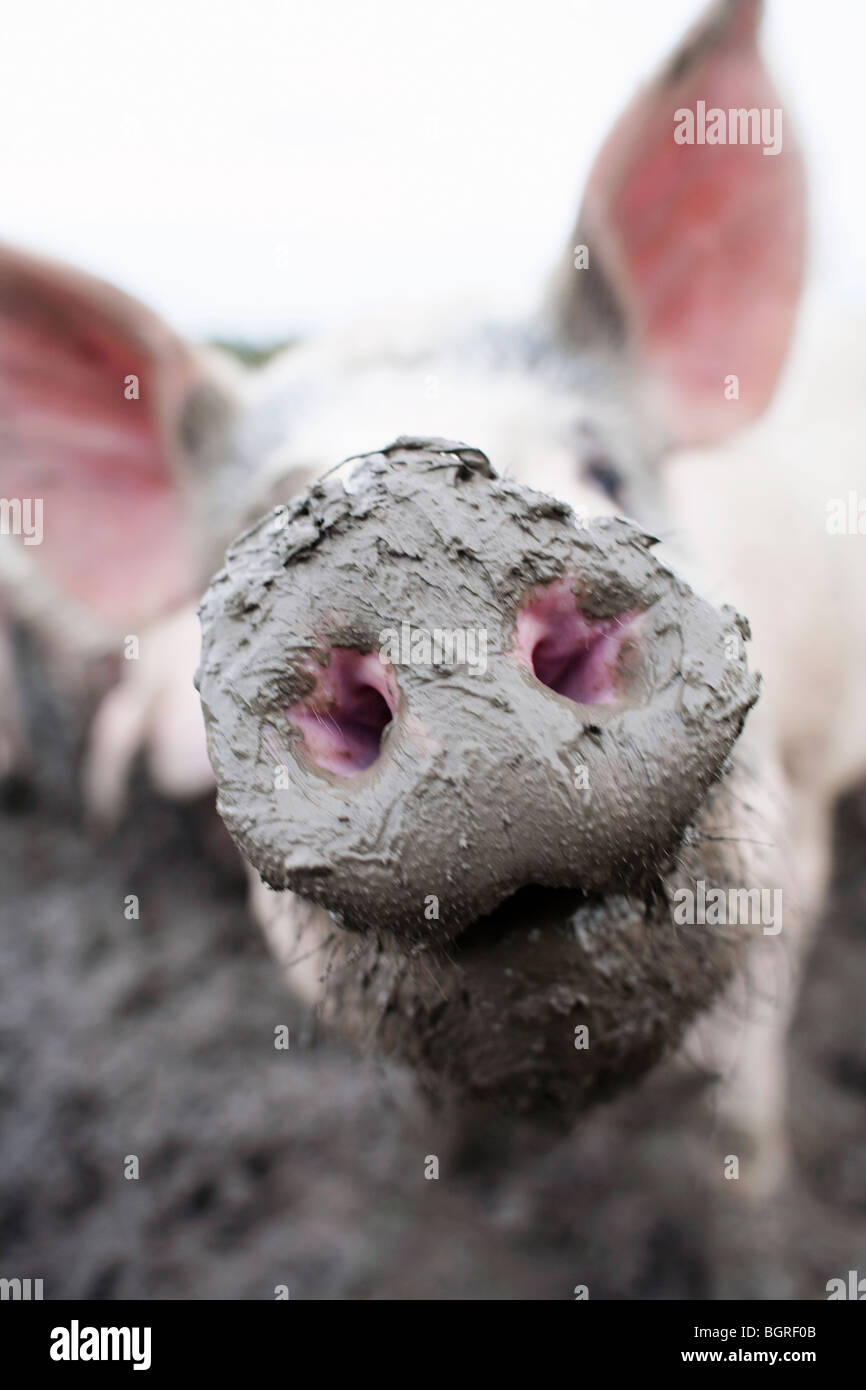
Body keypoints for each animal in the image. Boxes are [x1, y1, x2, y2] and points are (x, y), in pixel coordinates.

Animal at [1, 0, 866, 1195]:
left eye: (604, 470)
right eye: (240, 550)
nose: (401, 519)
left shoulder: (804, 801)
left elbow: (750, 1080)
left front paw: (755, 1192)